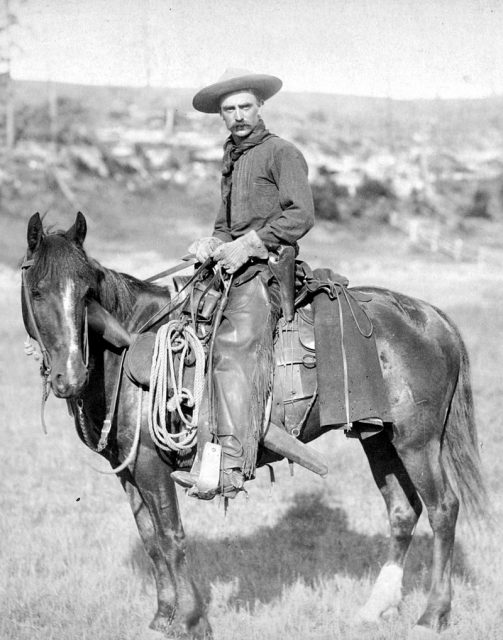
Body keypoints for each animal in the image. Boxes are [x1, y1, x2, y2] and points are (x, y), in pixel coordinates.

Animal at [21, 211, 486, 640]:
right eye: (37, 291)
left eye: (86, 293)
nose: (69, 377)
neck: (128, 345)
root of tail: (431, 317)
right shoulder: (130, 471)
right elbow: (152, 541)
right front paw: (161, 619)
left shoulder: (152, 466)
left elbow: (172, 538)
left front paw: (191, 621)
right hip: (379, 439)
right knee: (403, 511)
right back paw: (376, 607)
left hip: (417, 441)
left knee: (444, 509)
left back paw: (433, 614)